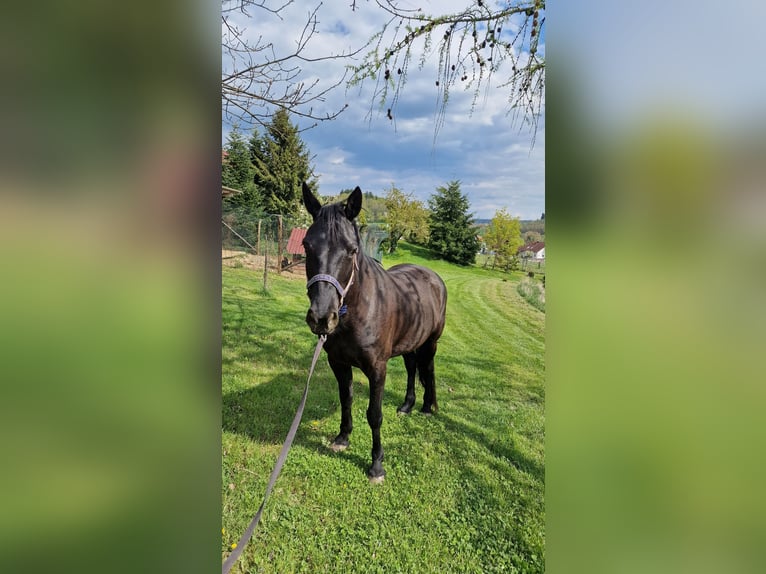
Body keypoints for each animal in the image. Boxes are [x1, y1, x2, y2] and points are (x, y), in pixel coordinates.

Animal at [301, 182, 447, 483]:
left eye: (352, 250)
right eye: (306, 245)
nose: (322, 317)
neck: (359, 310)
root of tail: (434, 277)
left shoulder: (377, 368)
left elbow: (374, 414)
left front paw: (377, 464)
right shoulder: (338, 363)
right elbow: (346, 399)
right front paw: (342, 438)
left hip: (430, 343)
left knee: (428, 369)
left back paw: (427, 408)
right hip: (409, 343)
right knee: (413, 369)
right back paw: (406, 406)